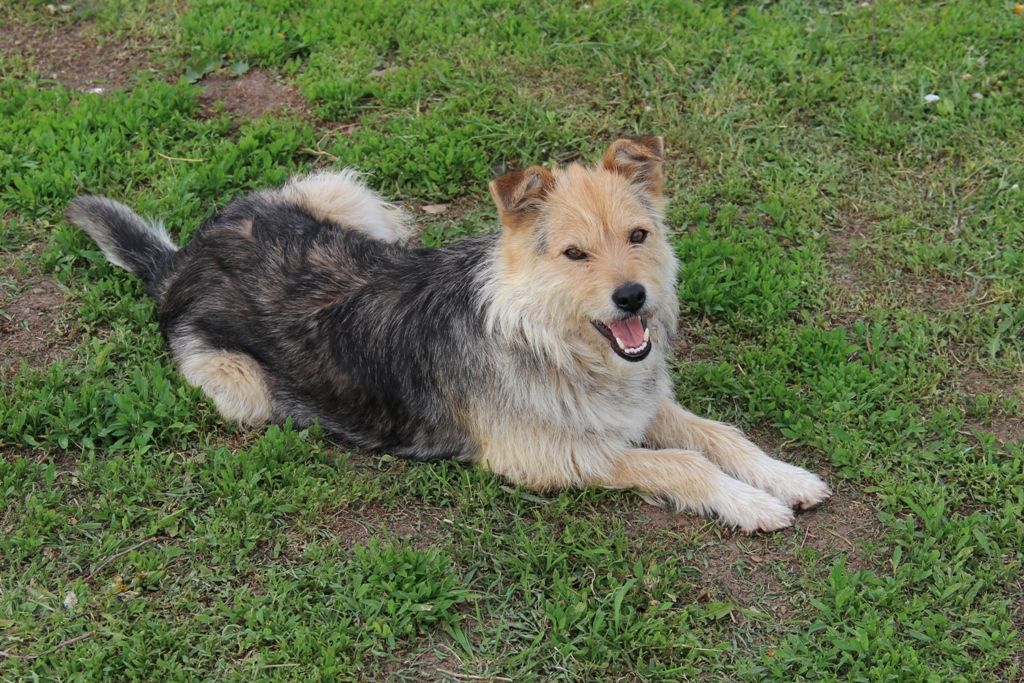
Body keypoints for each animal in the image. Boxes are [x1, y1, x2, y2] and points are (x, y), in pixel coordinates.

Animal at [66, 136, 830, 532]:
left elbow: (720, 435)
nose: (632, 296)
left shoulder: (639, 405)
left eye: (639, 236)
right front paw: (749, 503)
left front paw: (782, 475)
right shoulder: (545, 456)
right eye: (574, 253)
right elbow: (681, 463)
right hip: (242, 391)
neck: (547, 340)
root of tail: (184, 259)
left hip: (344, 194)